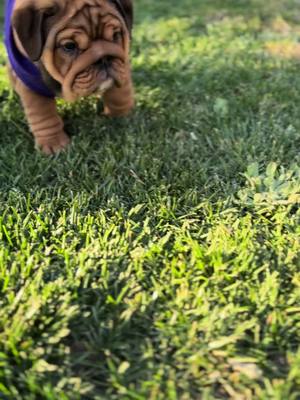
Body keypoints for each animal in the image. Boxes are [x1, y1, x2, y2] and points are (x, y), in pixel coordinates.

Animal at [4, 0, 134, 153]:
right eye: (69, 46)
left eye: (115, 35)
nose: (104, 59)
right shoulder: (31, 84)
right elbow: (43, 115)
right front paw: (54, 143)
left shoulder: (122, 65)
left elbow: (120, 95)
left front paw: (122, 116)